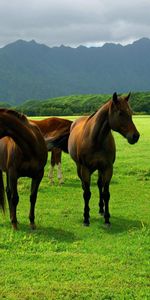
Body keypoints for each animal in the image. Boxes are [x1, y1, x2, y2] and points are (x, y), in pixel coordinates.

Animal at [47, 92, 139, 226]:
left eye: (131, 112)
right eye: (120, 113)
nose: (135, 136)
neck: (96, 139)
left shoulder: (107, 168)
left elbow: (106, 193)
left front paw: (107, 218)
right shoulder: (85, 169)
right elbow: (87, 193)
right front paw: (86, 218)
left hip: (99, 169)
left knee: (99, 185)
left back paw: (101, 209)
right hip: (80, 168)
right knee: (85, 187)